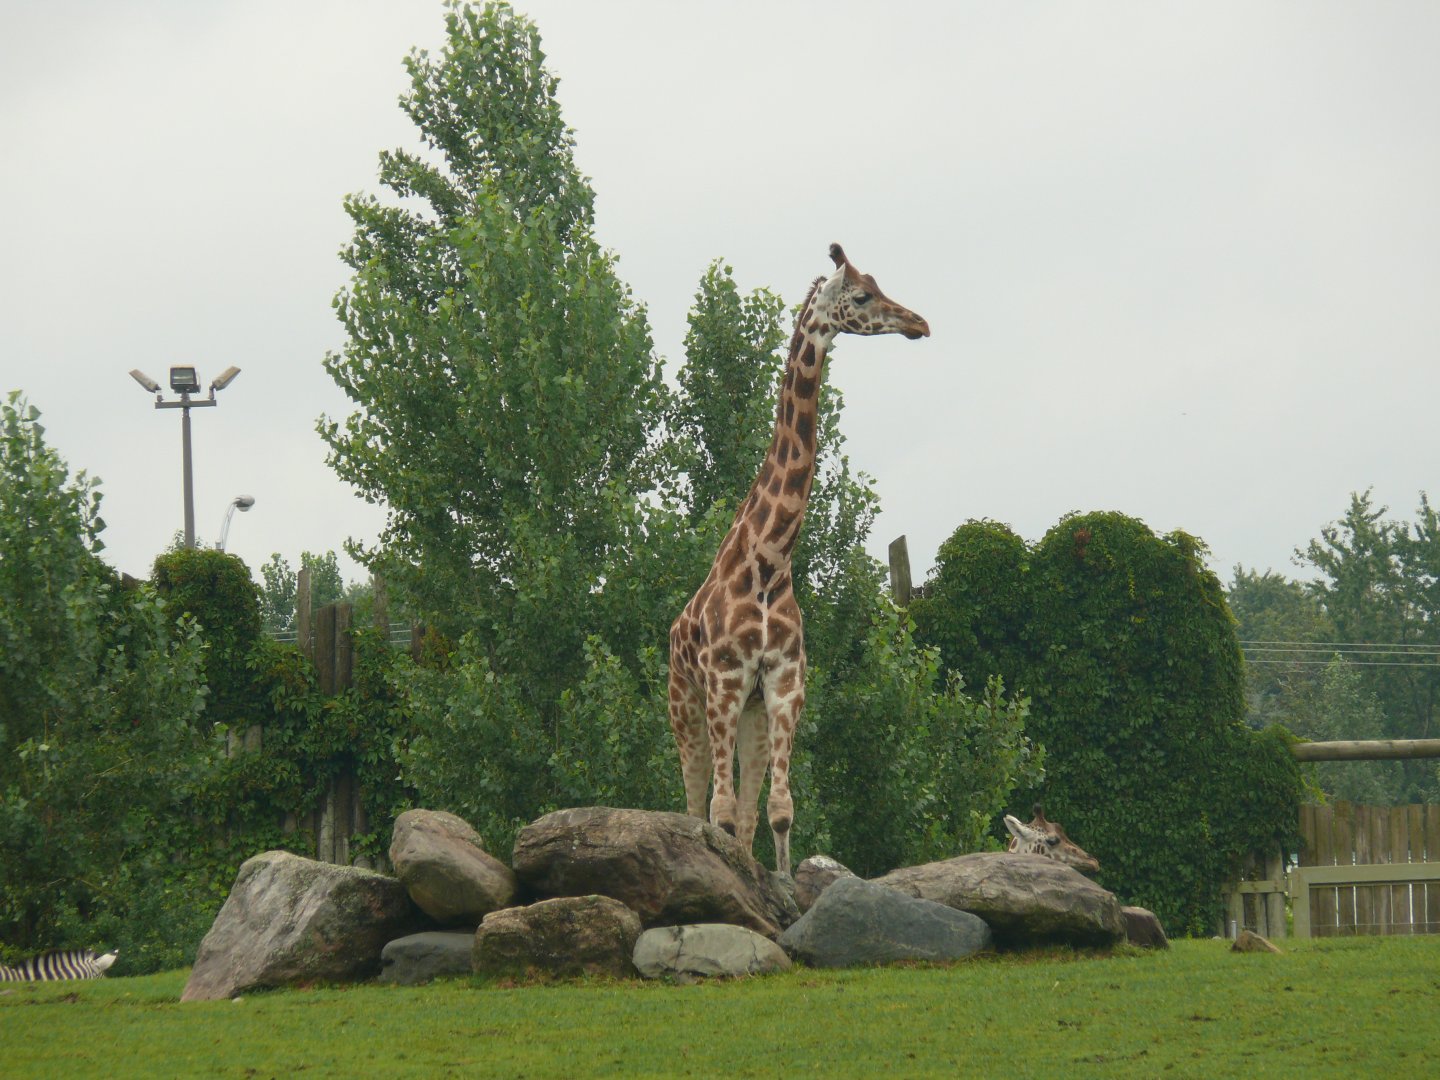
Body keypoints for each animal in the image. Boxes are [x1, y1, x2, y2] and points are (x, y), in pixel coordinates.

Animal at [668, 243, 930, 874]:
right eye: (861, 295)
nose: (918, 323)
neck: (769, 561)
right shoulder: (724, 680)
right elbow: (717, 810)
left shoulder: (784, 684)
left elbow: (778, 810)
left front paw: (783, 885)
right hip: (685, 704)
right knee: (694, 801)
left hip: (751, 715)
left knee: (742, 809)